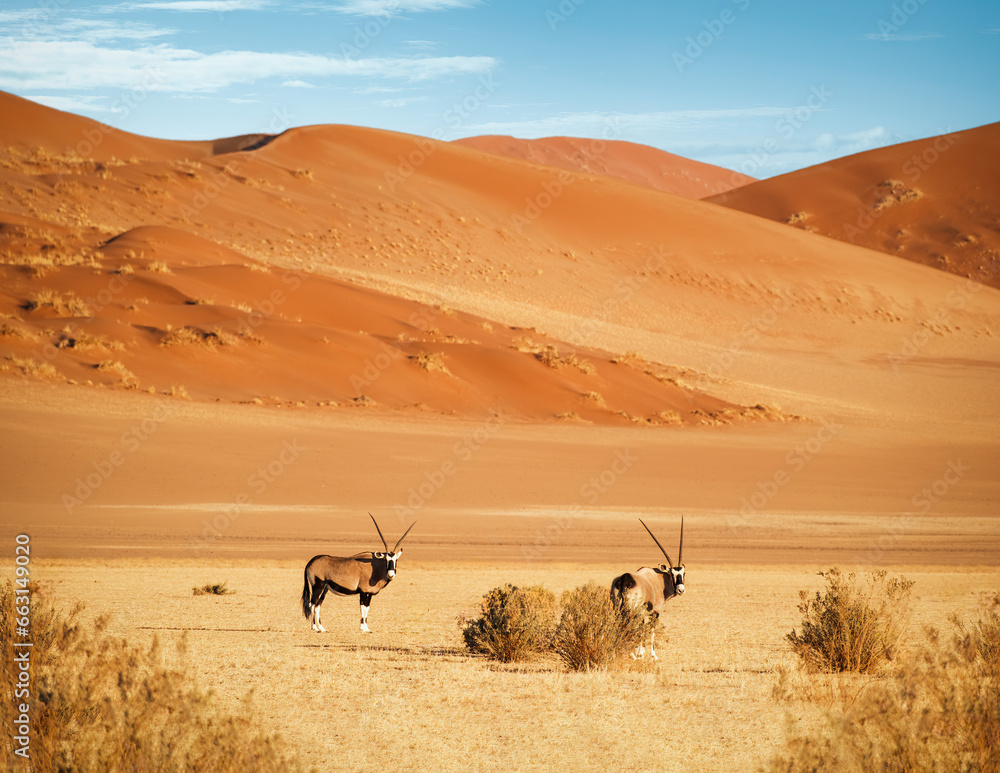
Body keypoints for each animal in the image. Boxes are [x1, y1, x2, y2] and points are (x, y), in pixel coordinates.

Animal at [610, 517, 685, 660]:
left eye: (683, 573)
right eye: (672, 574)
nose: (681, 590)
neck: (659, 580)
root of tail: (624, 579)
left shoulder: (643, 613)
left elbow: (641, 629)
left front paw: (640, 651)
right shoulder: (655, 611)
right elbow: (650, 631)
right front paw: (651, 655)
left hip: (617, 607)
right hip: (630, 610)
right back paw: (632, 655)